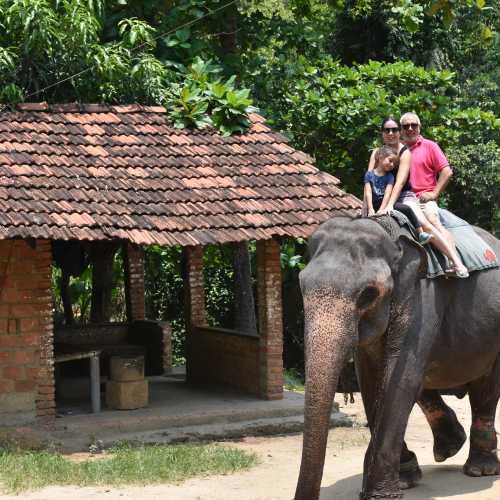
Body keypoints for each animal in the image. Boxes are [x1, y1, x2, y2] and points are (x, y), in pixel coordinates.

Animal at [292, 216, 500, 500]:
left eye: (368, 294)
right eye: (302, 286)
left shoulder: (422, 296)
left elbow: (400, 378)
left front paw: (382, 493)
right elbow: (371, 380)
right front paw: (404, 480)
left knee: (485, 387)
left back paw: (481, 469)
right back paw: (449, 447)